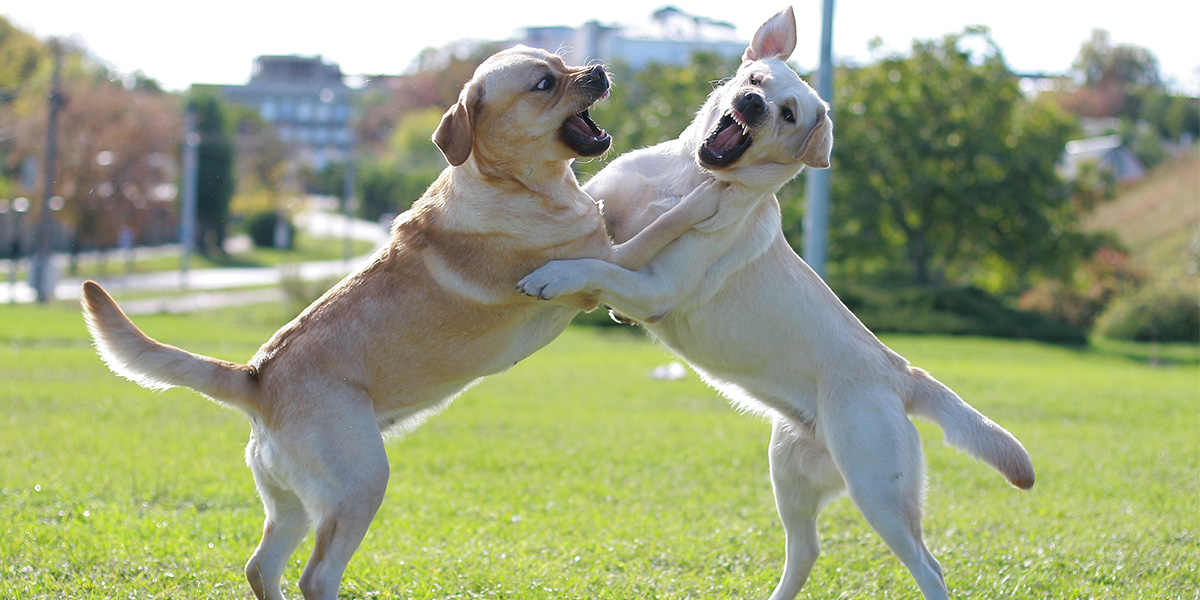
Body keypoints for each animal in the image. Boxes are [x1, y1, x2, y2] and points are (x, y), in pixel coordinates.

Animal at [84, 46, 715, 600]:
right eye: (544, 83)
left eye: (563, 63)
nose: (600, 70)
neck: (512, 184)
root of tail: (256, 377)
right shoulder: (605, 260)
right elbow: (660, 226)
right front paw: (707, 195)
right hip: (360, 484)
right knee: (315, 575)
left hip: (293, 503)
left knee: (260, 568)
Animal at [520, 8, 1036, 600]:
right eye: (755, 80)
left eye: (788, 114)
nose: (751, 104)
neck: (688, 178)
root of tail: (903, 373)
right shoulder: (608, 208)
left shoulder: (656, 287)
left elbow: (598, 267)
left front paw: (553, 276)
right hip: (789, 471)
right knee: (806, 550)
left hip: (877, 489)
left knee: (930, 567)